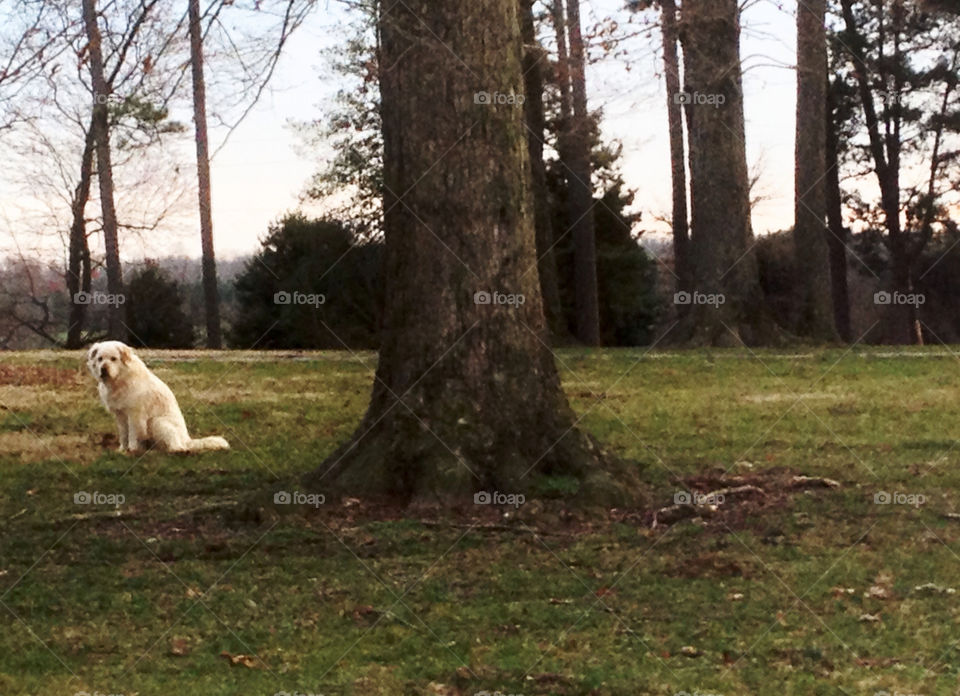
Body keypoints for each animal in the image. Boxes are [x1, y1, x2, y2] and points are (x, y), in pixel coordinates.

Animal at [86, 342, 229, 452]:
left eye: (113, 359)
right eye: (100, 359)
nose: (103, 369)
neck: (119, 380)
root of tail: (187, 439)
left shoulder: (135, 414)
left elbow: (132, 434)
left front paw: (132, 450)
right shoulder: (120, 415)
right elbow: (123, 434)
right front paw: (122, 450)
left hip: (157, 421)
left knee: (178, 447)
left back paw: (172, 450)